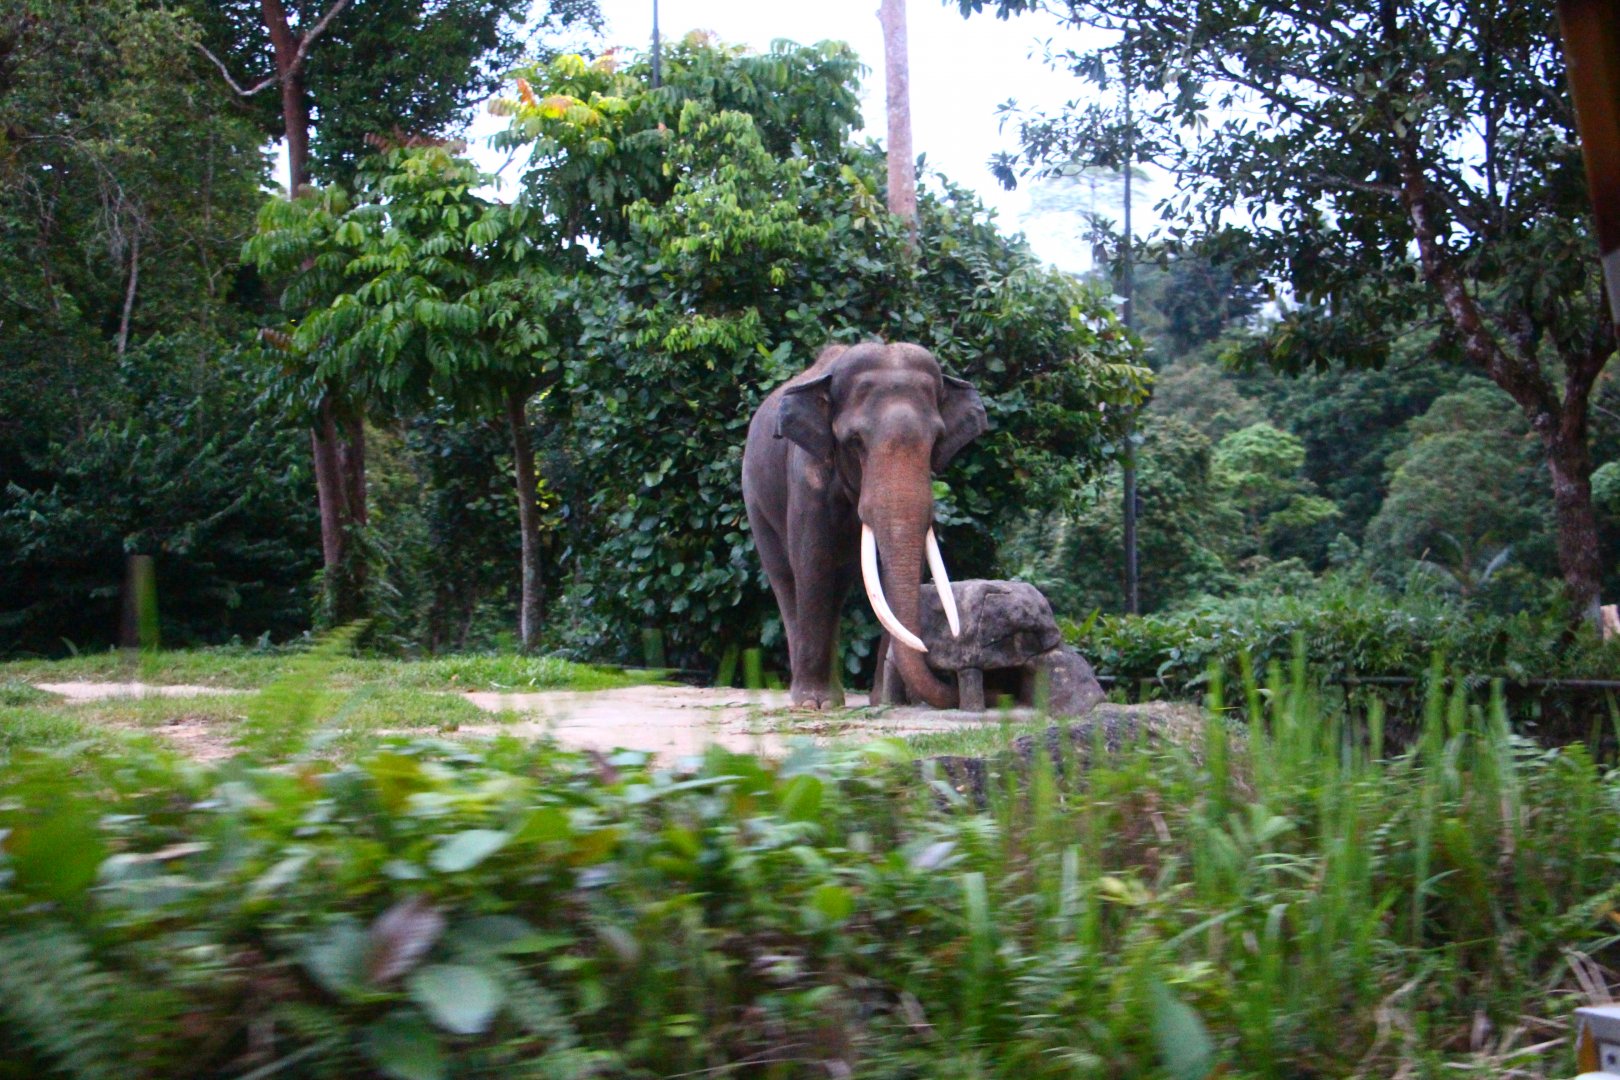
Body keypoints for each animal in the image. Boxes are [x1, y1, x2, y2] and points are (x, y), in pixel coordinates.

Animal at [741, 341, 989, 709]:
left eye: (936, 440)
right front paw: (813, 705)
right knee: (785, 578)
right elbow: (813, 563)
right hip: (755, 501)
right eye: (855, 441)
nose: (954, 680)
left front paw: (886, 702)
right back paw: (814, 698)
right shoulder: (806, 474)